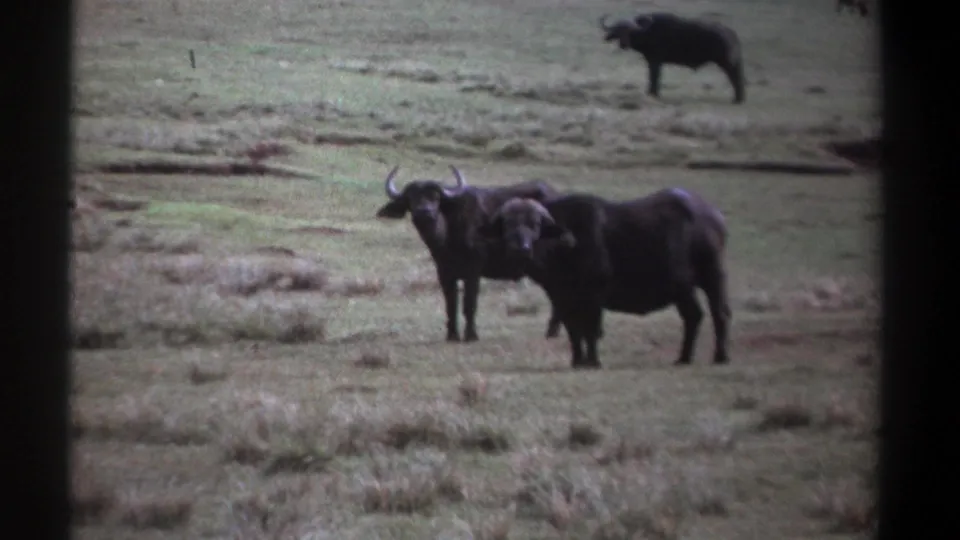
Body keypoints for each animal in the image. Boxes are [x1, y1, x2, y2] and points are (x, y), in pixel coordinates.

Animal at [375, 165, 562, 342]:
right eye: (411, 198)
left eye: (435, 197)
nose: (424, 212)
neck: (447, 235)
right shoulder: (444, 273)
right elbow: (451, 304)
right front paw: (452, 335)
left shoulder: (473, 271)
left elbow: (469, 304)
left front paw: (471, 335)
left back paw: (552, 331)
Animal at [478, 188, 731, 369]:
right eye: (508, 224)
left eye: (535, 224)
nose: (521, 248)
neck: (566, 247)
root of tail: (714, 215)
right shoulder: (563, 298)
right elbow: (573, 330)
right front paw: (577, 360)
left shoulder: (594, 295)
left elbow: (591, 329)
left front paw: (592, 361)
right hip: (683, 288)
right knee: (694, 316)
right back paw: (684, 357)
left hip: (713, 276)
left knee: (719, 313)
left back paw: (720, 356)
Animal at [599, 12, 746, 104]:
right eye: (617, 31)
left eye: (630, 31)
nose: (623, 44)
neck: (648, 33)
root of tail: (731, 34)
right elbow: (653, 77)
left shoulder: (655, 61)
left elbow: (654, 76)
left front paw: (653, 93)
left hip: (727, 63)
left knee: (735, 79)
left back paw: (737, 99)